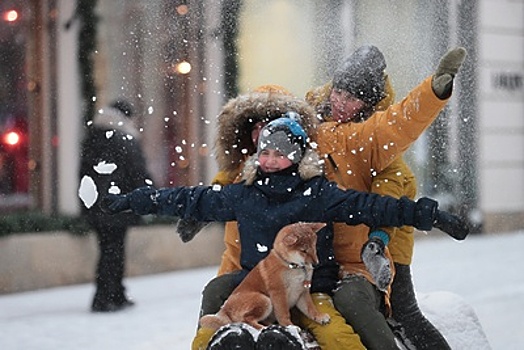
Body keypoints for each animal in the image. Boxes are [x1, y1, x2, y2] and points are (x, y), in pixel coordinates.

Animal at [199, 223, 330, 330]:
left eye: (314, 246)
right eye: (303, 250)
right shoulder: (278, 292)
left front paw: (319, 317)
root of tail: (224, 309)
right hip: (264, 300)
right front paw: (290, 326)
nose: (316, 264)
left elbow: (310, 309)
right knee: (246, 319)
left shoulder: (302, 292)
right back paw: (262, 328)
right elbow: (284, 314)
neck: (292, 266)